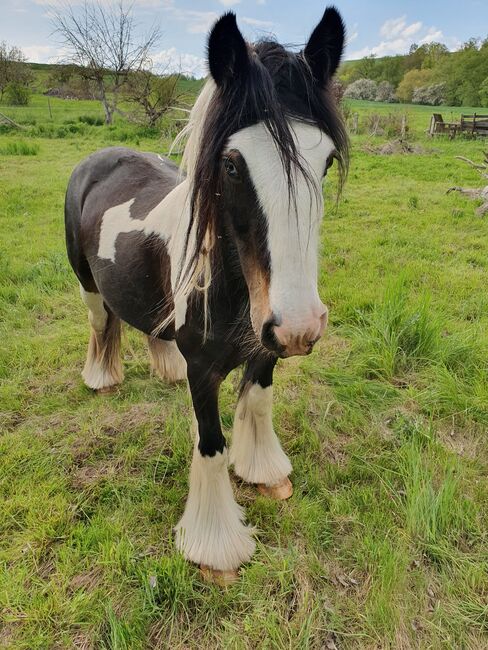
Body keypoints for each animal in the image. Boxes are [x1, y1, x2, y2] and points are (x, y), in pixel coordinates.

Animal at [65, 6, 348, 584]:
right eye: (233, 164)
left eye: (327, 161)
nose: (301, 326)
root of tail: (98, 158)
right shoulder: (205, 368)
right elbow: (210, 445)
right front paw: (215, 548)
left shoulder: (266, 348)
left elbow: (257, 403)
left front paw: (264, 473)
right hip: (87, 287)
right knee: (100, 324)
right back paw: (101, 378)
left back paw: (161, 367)